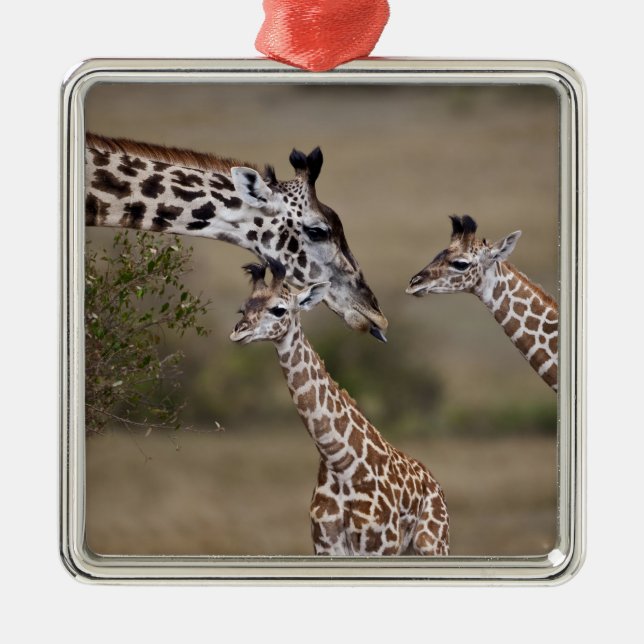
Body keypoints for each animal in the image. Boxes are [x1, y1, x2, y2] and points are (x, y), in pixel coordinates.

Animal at [230, 260, 449, 556]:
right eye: (243, 309)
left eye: (279, 309)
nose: (238, 332)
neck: (340, 460)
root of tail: (435, 484)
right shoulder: (326, 544)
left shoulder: (379, 546)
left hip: (433, 543)